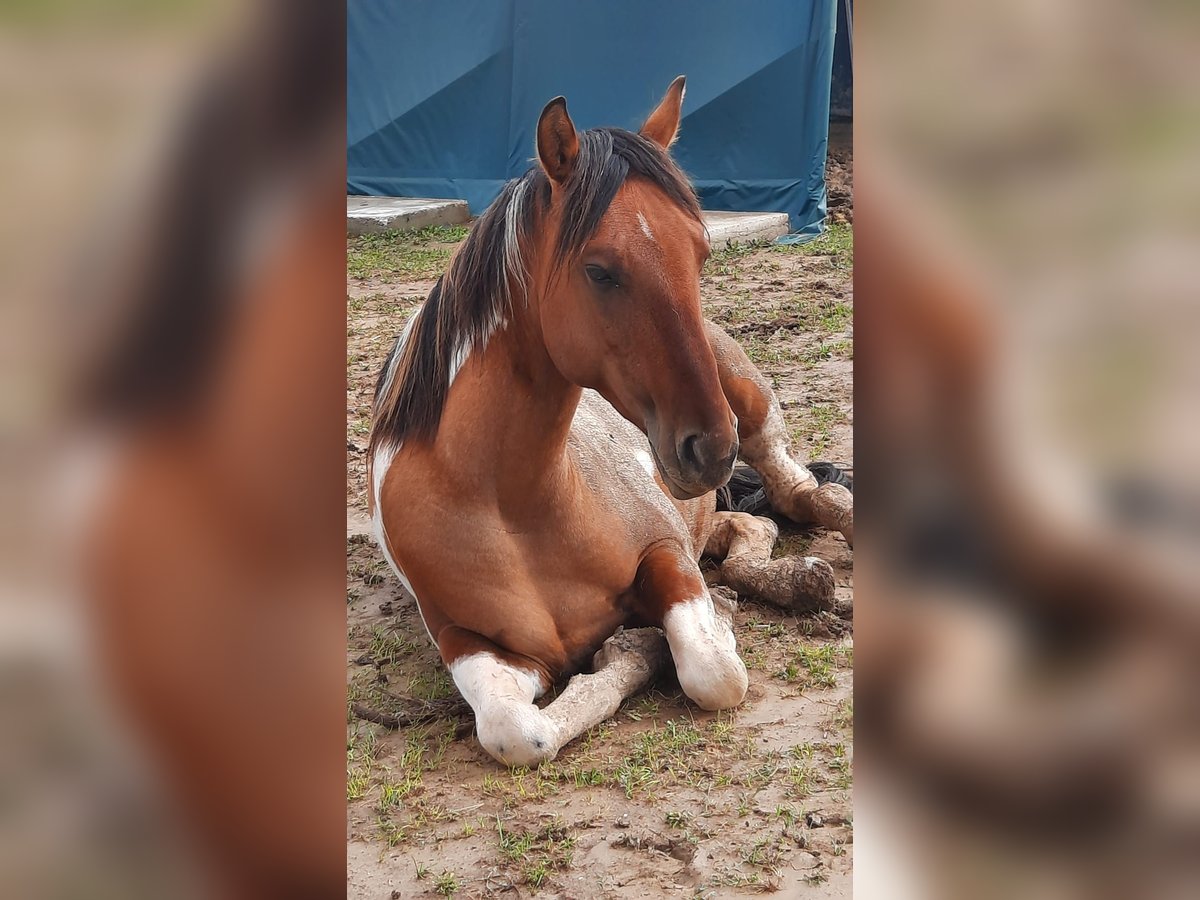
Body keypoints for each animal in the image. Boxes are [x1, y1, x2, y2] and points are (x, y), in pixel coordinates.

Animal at [369, 76, 853, 766]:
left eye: (701, 254)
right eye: (599, 271)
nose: (711, 447)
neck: (511, 506)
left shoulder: (664, 551)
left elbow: (713, 671)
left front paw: (648, 641)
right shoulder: (467, 640)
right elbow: (517, 732)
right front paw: (636, 645)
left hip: (749, 406)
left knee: (806, 494)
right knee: (748, 529)